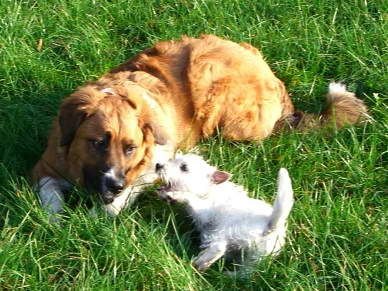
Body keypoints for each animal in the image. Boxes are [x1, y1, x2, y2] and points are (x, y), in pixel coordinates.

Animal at [32, 34, 366, 221]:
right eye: (98, 142)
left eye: (130, 148)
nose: (115, 185)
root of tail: (272, 75)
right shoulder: (43, 169)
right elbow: (50, 196)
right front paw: (55, 221)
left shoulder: (151, 164)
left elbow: (123, 197)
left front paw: (93, 218)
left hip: (208, 78)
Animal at [155, 154, 294, 274]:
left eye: (184, 167)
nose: (157, 165)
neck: (210, 191)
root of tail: (271, 225)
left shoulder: (205, 211)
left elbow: (190, 198)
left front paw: (174, 195)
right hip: (257, 257)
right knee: (246, 273)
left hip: (225, 230)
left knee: (219, 248)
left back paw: (199, 263)